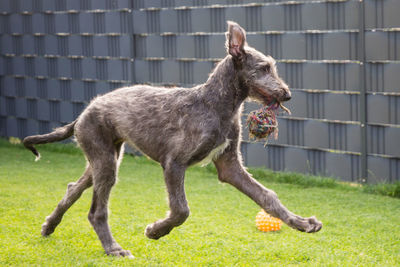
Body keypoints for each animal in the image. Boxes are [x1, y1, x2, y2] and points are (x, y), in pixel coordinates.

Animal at [22, 22, 322, 258]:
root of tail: (85, 111)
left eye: (271, 67)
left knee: (73, 188)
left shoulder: (230, 167)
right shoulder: (173, 164)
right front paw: (156, 231)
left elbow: (267, 197)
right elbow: (181, 210)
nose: (287, 95)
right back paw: (113, 249)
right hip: (104, 161)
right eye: (264, 68)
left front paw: (302, 222)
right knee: (97, 211)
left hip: (103, 157)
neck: (214, 103)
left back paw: (49, 226)